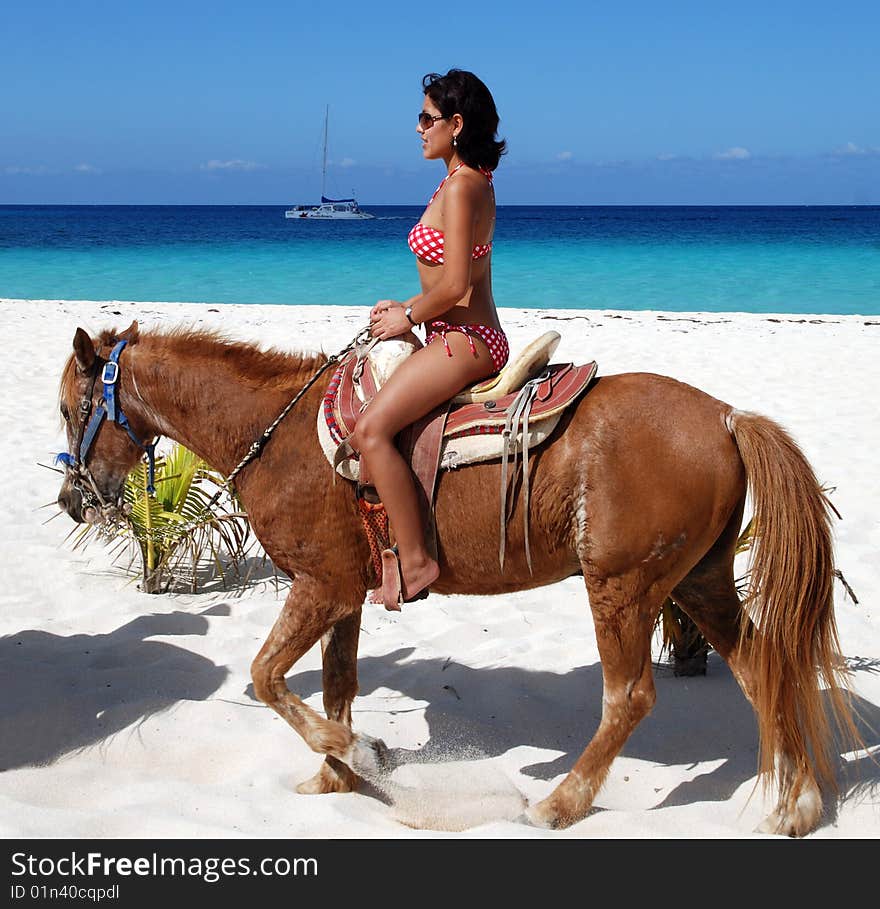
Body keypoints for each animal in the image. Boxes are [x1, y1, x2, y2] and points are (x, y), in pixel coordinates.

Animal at [55, 320, 860, 836]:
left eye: (69, 408)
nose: (71, 500)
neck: (275, 433)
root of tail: (726, 416)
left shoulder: (320, 587)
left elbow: (265, 676)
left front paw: (359, 755)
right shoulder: (346, 594)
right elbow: (336, 682)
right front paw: (334, 776)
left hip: (623, 586)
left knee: (630, 696)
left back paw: (559, 804)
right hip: (699, 581)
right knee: (763, 667)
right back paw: (795, 806)